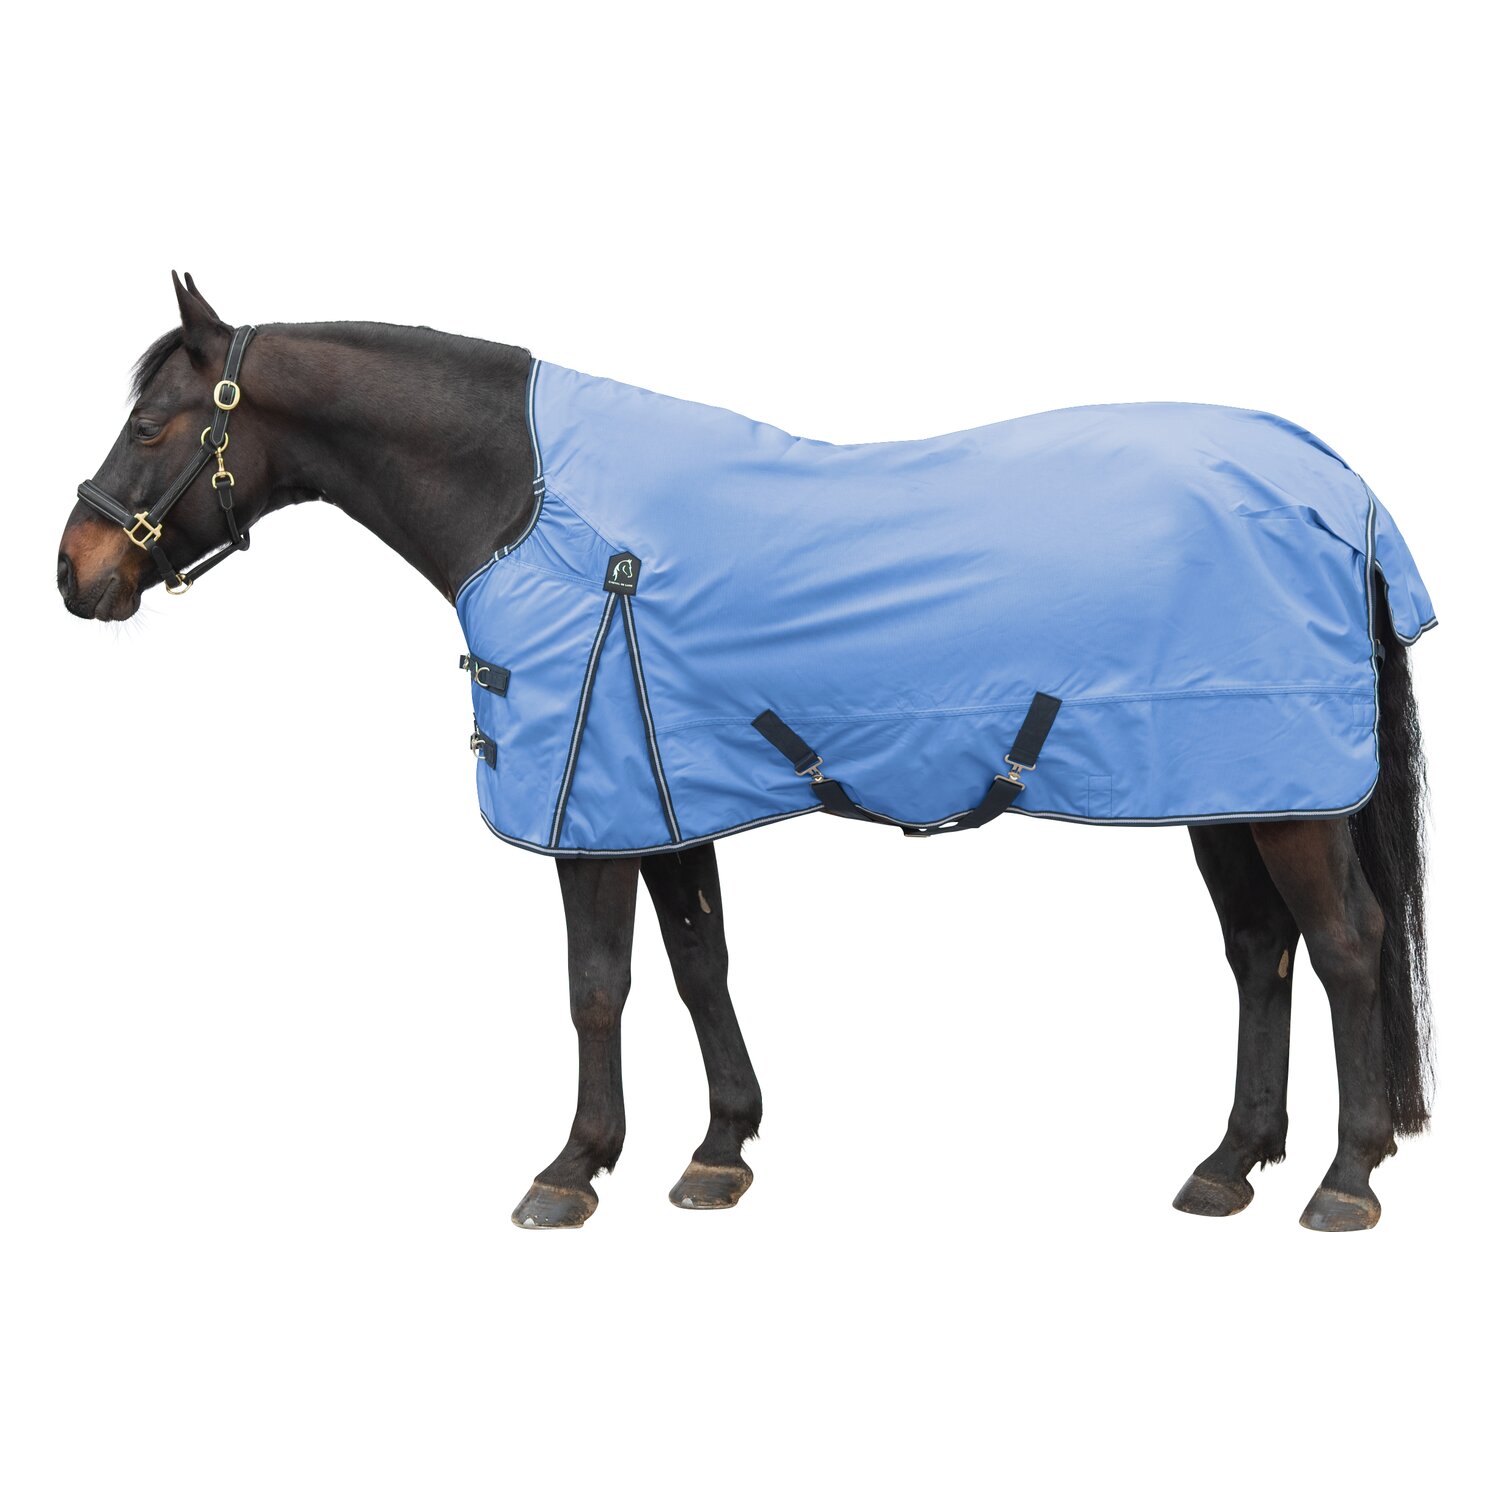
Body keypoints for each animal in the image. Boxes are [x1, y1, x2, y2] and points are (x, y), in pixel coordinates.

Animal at [58, 273, 1432, 1231]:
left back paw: (1345, 1178)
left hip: (1288, 802)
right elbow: (698, 966)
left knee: (1345, 947)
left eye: (154, 423)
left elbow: (597, 985)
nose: (76, 572)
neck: (536, 506)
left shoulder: (592, 815)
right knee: (1260, 954)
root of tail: (1339, 489)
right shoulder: (662, 798)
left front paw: (573, 1168)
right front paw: (720, 1151)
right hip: (1226, 791)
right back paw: (1228, 1166)